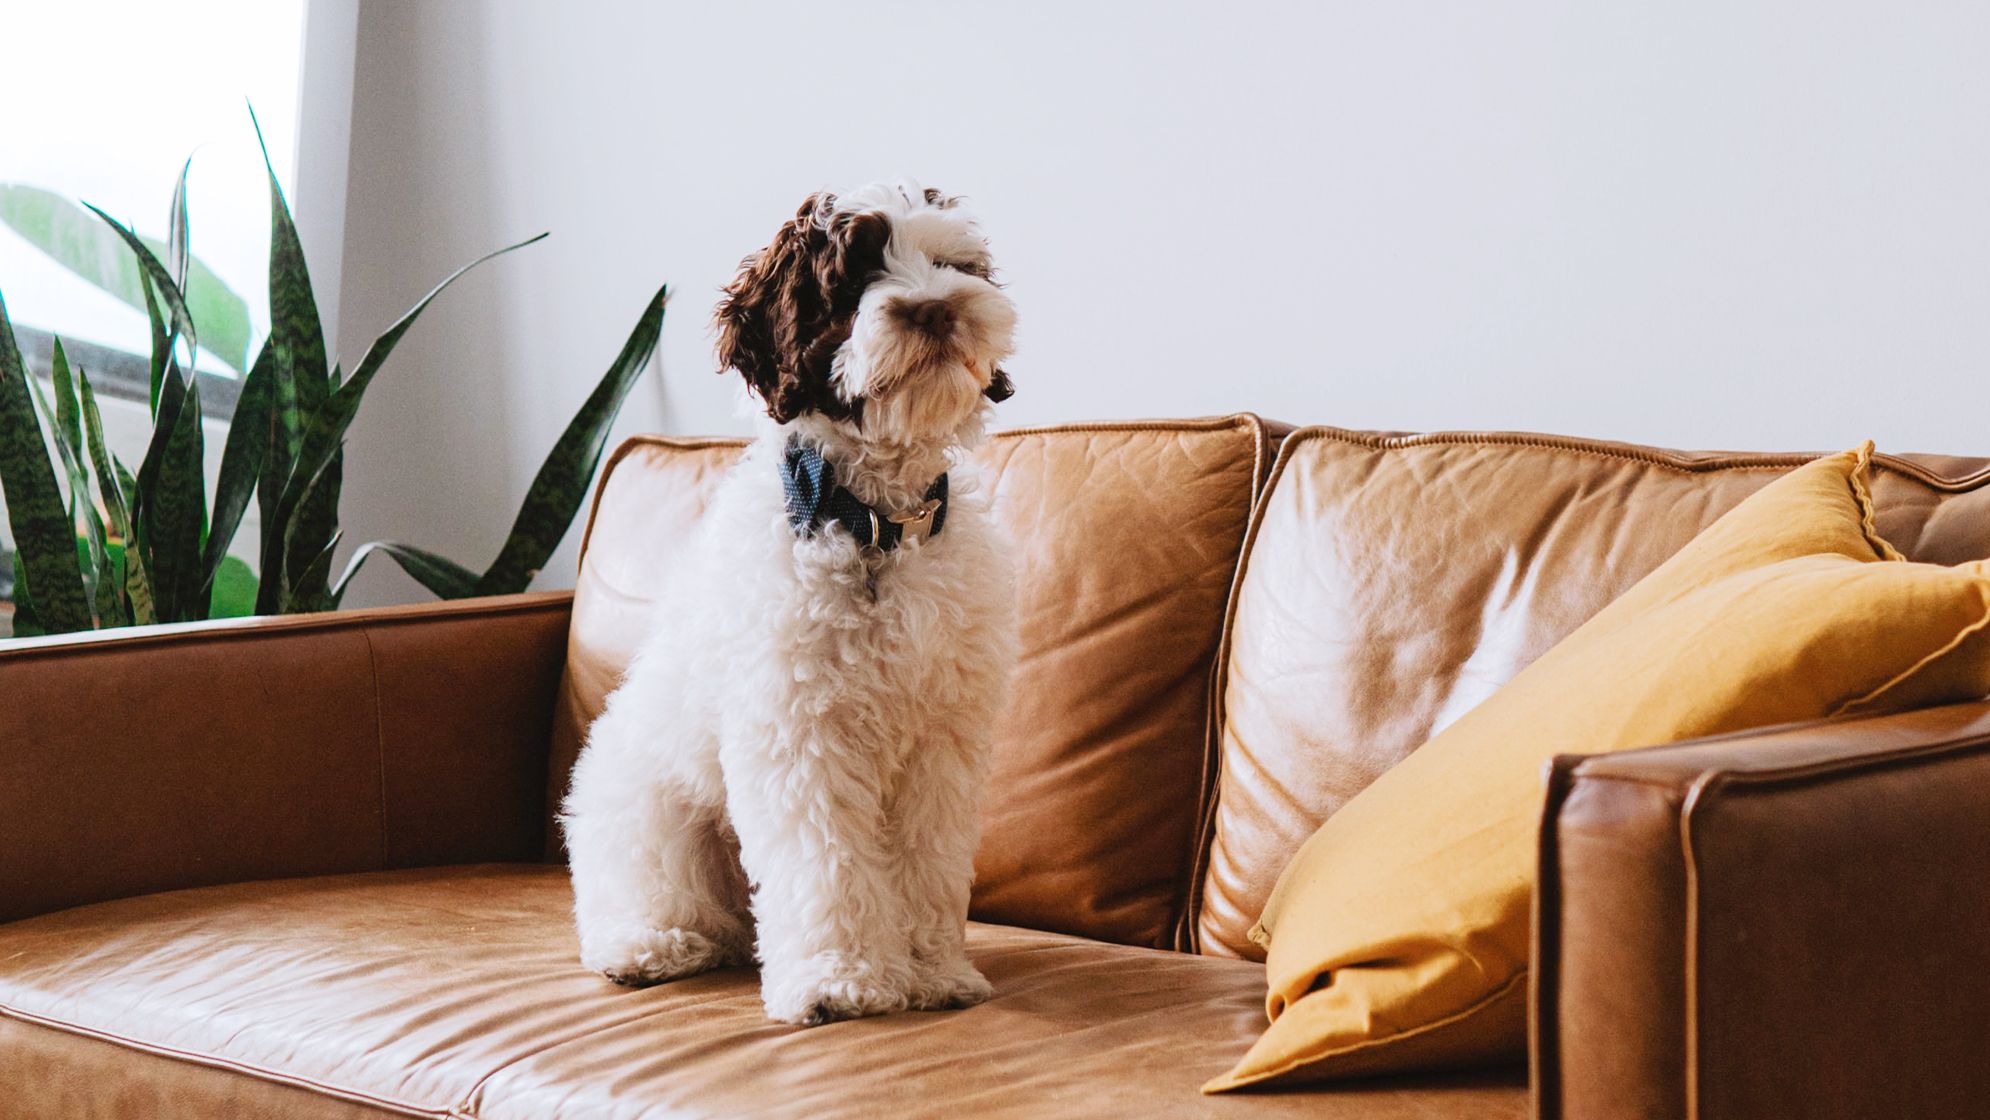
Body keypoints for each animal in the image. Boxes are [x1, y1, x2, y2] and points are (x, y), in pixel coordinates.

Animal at [565, 182, 1018, 1026]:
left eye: (952, 266)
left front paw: (933, 972)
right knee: (645, 898)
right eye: (853, 277)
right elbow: (830, 862)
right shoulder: (804, 733)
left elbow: (929, 861)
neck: (871, 524)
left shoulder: (943, 740)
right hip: (647, 812)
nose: (936, 309)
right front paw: (842, 980)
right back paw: (646, 947)